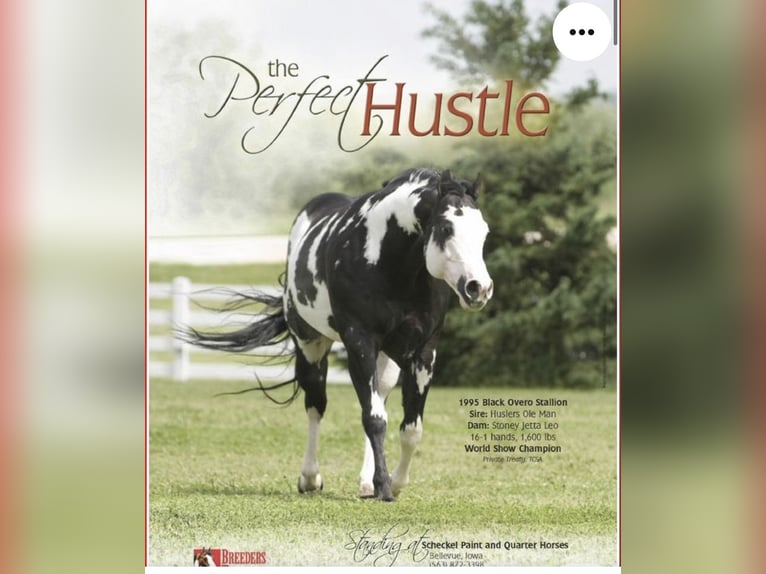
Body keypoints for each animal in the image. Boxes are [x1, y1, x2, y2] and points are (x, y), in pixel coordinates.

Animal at [185, 167, 493, 501]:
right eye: (447, 228)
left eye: (484, 231)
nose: (479, 288)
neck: (388, 262)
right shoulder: (359, 343)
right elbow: (373, 419)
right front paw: (384, 487)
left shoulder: (423, 352)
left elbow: (411, 427)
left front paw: (392, 483)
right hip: (310, 345)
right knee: (316, 405)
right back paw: (310, 478)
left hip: (386, 360)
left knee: (378, 399)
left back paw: (365, 481)